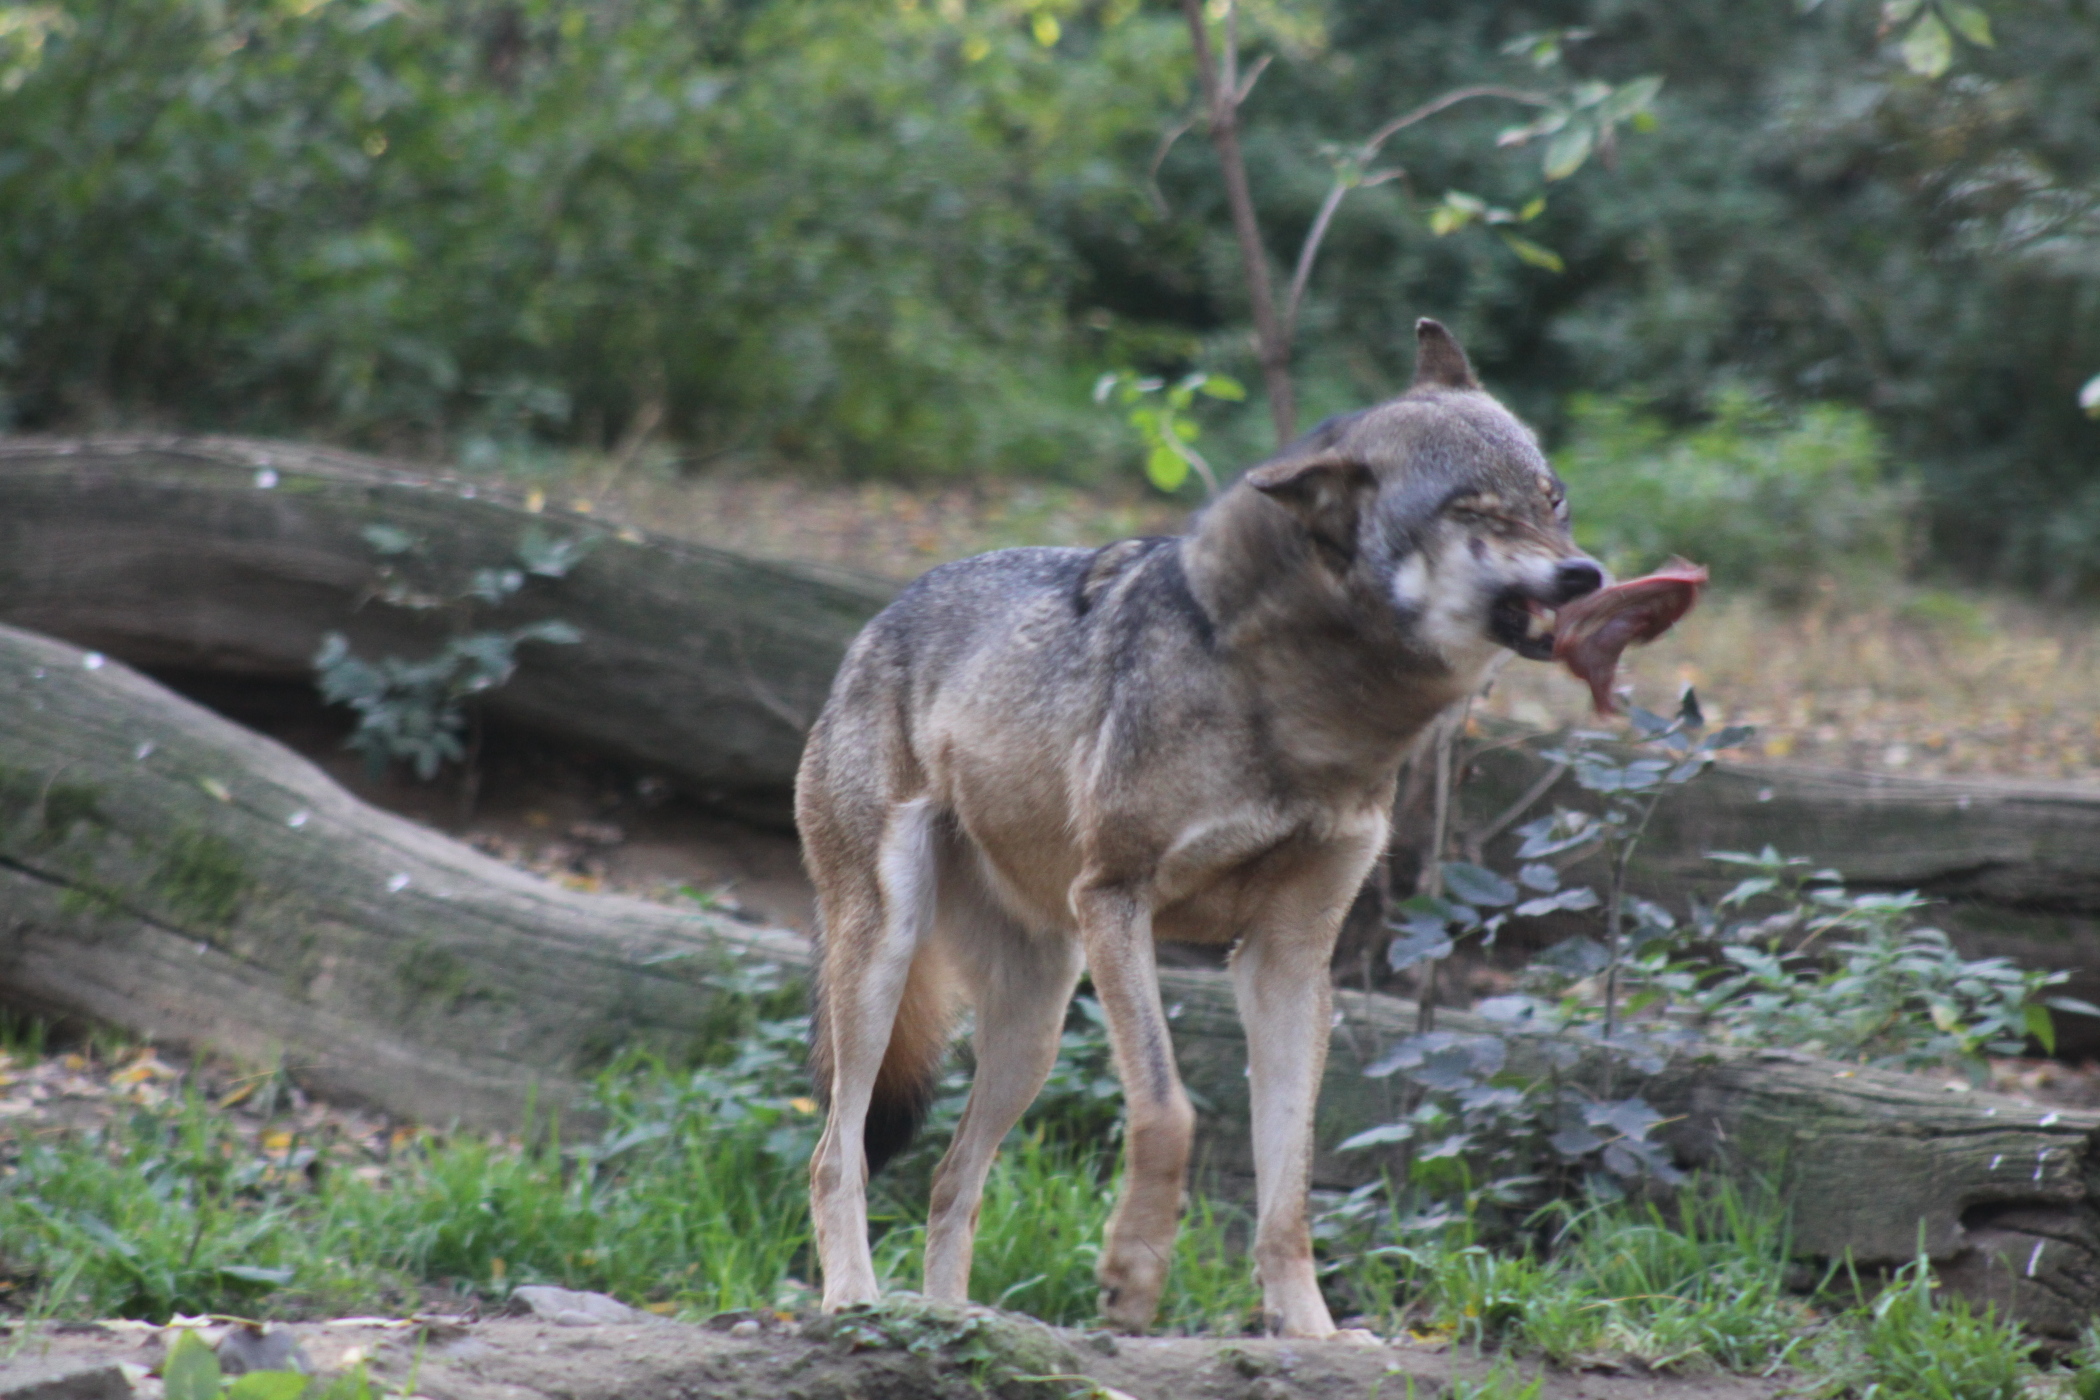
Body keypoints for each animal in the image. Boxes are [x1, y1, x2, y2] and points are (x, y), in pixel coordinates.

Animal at [793, 316, 1595, 1334]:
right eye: (1477, 514)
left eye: (1552, 500)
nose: (1586, 573)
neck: (1314, 707)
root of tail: (876, 621)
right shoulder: (1116, 899)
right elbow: (1171, 1109)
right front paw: (1133, 1272)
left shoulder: (1288, 959)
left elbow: (1288, 1189)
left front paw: (1312, 1331)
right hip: (888, 960)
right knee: (837, 1152)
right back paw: (856, 1302)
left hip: (1036, 1025)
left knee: (950, 1178)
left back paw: (954, 1322)